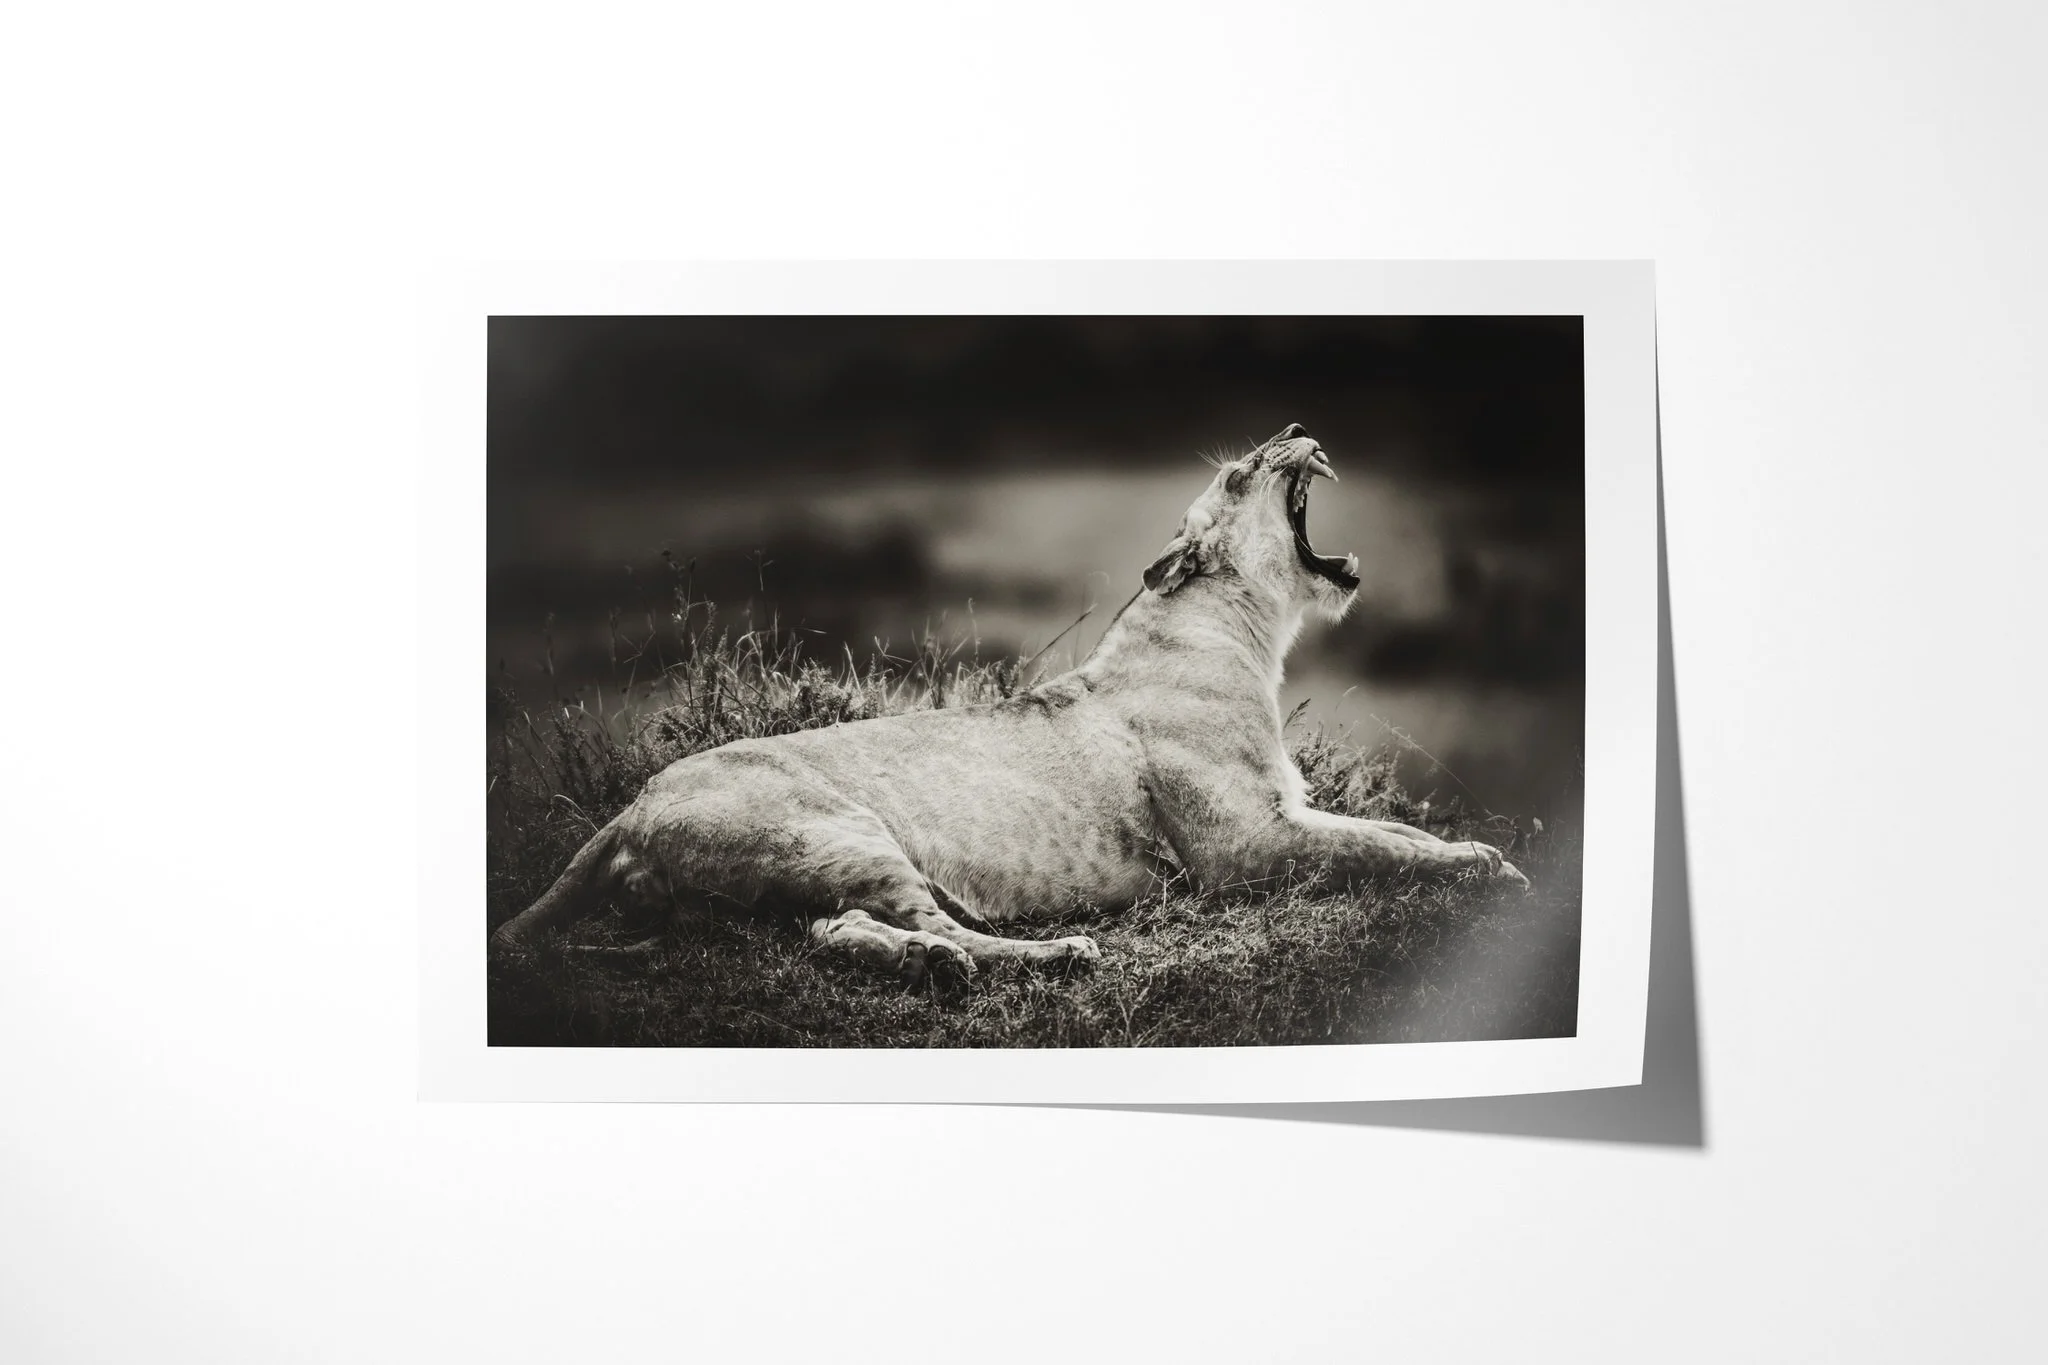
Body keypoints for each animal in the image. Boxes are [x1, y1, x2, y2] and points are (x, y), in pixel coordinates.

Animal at [490, 423, 1528, 985]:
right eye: (1243, 470)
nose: (1298, 429)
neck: (1246, 630)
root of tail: (634, 805)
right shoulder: (1245, 846)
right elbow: (1379, 850)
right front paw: (1490, 866)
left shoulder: (1286, 814)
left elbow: (1395, 834)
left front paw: (1475, 854)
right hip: (839, 831)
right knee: (927, 921)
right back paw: (1051, 953)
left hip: (784, 882)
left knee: (835, 931)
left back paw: (927, 965)